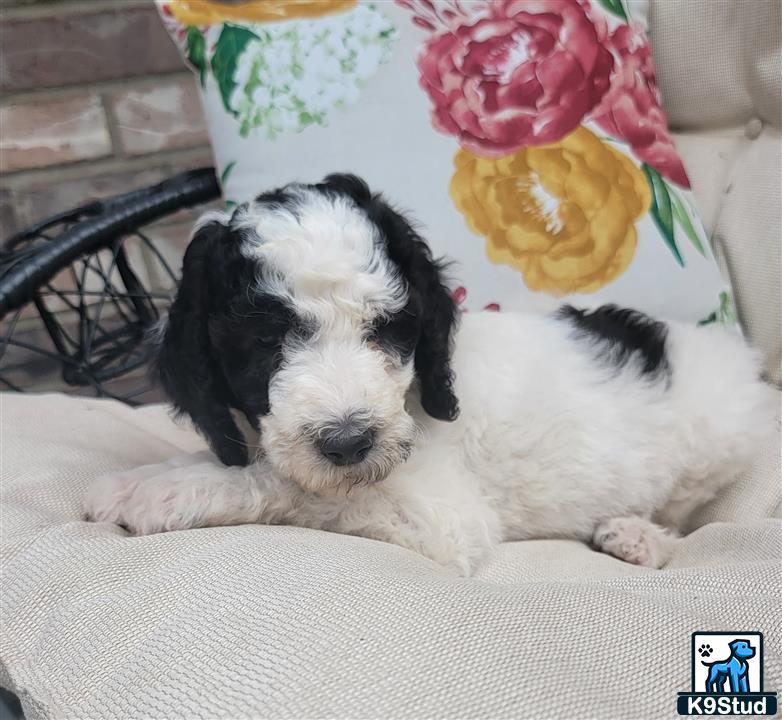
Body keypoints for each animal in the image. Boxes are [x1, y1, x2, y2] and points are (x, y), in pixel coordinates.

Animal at [84, 173, 772, 572]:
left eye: (389, 329)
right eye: (265, 342)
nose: (349, 443)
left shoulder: (442, 521)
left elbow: (291, 487)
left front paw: (164, 492)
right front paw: (152, 475)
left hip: (706, 456)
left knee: (684, 516)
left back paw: (638, 537)